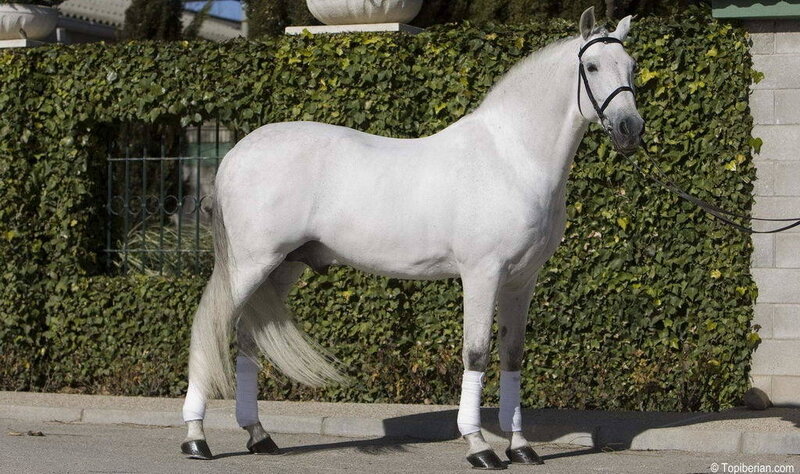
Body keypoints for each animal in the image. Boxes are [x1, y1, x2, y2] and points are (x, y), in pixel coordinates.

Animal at [180, 7, 643, 469]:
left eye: (631, 67)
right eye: (591, 66)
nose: (630, 128)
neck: (510, 157)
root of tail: (235, 154)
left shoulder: (521, 281)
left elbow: (512, 355)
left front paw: (521, 447)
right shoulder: (482, 275)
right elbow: (476, 352)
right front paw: (479, 447)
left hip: (283, 268)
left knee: (246, 339)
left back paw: (258, 435)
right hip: (249, 264)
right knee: (210, 326)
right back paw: (196, 439)